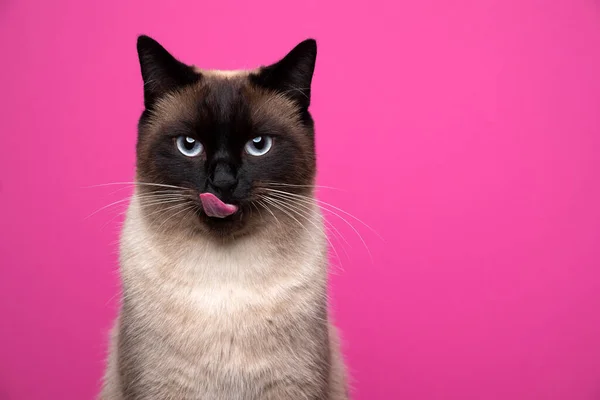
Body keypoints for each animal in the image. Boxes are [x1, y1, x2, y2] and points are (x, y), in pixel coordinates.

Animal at [101, 35, 350, 400]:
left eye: (258, 145)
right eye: (189, 145)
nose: (222, 182)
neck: (225, 277)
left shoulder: (291, 388)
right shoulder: (161, 387)